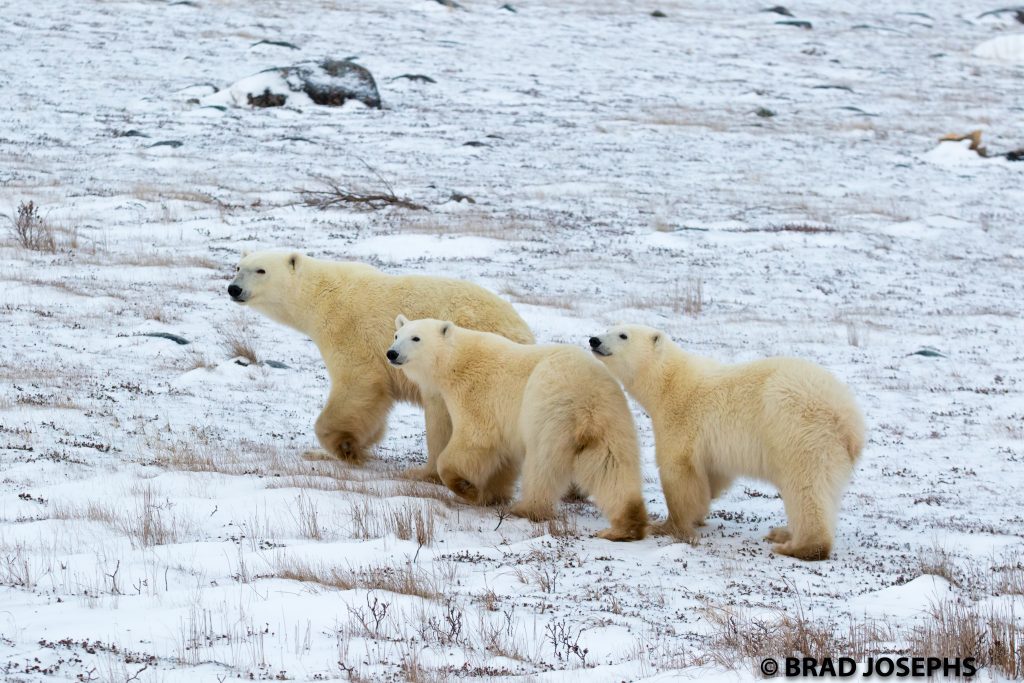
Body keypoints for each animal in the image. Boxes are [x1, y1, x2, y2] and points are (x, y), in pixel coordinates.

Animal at [227, 250, 533, 479]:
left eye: (260, 270)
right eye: (238, 267)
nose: (234, 288)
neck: (322, 294)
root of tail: (523, 334)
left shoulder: (349, 331)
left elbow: (360, 384)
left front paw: (343, 445)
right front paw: (337, 448)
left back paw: (426, 472)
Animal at [386, 316, 648, 541]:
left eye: (416, 338)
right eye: (397, 334)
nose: (392, 353)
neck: (456, 360)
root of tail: (587, 401)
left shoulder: (476, 394)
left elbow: (475, 439)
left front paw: (467, 489)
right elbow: (502, 458)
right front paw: (491, 495)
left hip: (548, 410)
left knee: (542, 464)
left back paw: (526, 509)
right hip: (612, 420)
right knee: (612, 466)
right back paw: (627, 525)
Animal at [588, 324, 864, 560]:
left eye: (623, 335)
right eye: (610, 327)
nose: (594, 340)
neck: (670, 382)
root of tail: (849, 419)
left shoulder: (682, 419)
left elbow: (678, 472)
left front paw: (666, 525)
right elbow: (712, 477)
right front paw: (700, 511)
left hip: (799, 430)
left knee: (805, 487)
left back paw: (798, 546)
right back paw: (783, 532)